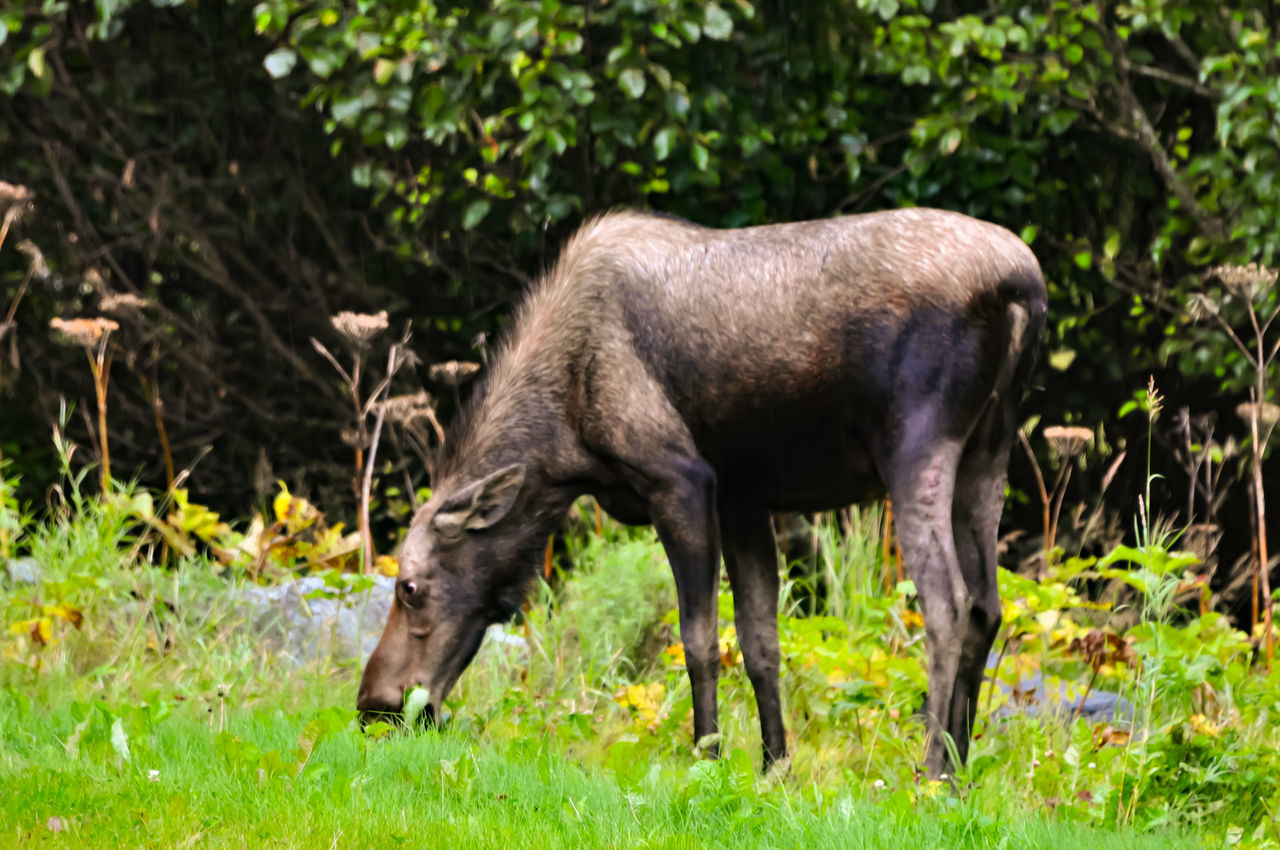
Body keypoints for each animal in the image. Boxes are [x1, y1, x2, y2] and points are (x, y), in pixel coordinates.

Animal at [355, 207, 1044, 778]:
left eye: (409, 587)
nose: (372, 704)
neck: (563, 446)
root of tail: (1024, 287)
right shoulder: (744, 499)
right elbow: (761, 641)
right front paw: (772, 765)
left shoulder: (680, 479)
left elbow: (699, 638)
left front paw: (706, 756)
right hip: (989, 454)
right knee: (988, 606)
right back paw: (961, 766)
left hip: (917, 445)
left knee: (947, 604)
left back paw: (933, 770)